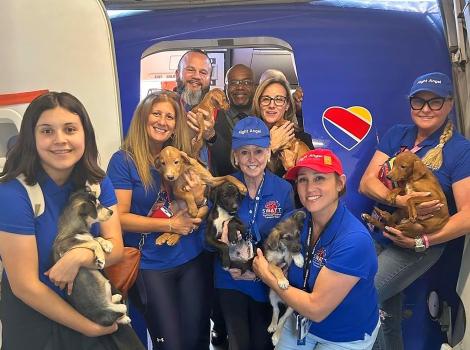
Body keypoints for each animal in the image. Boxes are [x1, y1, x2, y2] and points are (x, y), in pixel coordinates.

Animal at [51, 187, 130, 326]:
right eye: (97, 206)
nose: (111, 212)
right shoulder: (64, 246)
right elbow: (92, 242)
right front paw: (100, 259)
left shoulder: (86, 237)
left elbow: (95, 238)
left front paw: (107, 244)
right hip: (118, 308)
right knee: (118, 314)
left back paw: (117, 300)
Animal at [264, 209, 304, 346]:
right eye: (287, 238)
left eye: (298, 235)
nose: (299, 248)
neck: (282, 249)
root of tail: (283, 301)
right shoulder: (271, 263)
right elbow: (277, 269)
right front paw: (283, 281)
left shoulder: (287, 260)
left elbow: (291, 254)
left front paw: (299, 258)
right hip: (271, 295)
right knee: (276, 310)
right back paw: (272, 326)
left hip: (292, 307)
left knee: (282, 319)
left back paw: (276, 336)